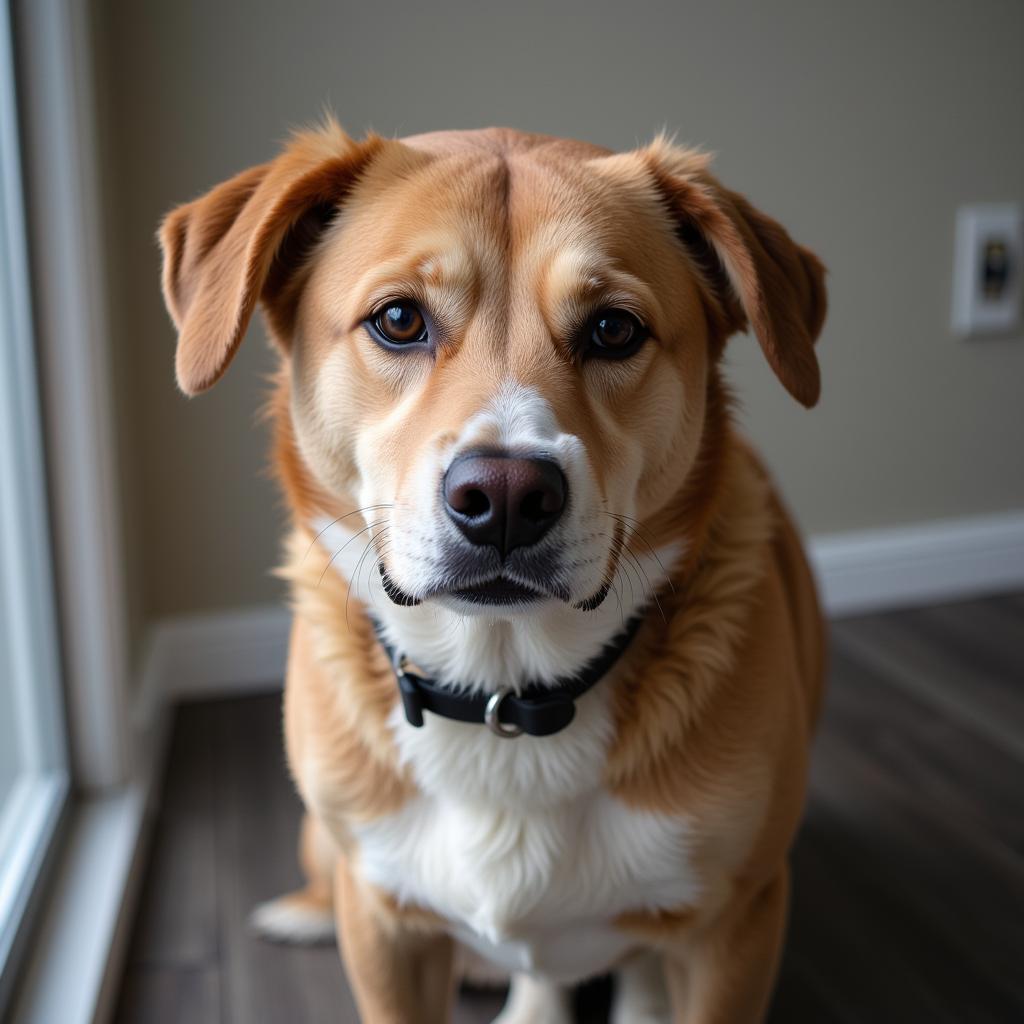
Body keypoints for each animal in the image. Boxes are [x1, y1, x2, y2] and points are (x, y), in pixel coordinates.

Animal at [161, 121, 831, 1024]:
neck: (504, 696)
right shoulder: (383, 929)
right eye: (398, 319)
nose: (507, 497)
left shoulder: (737, 927)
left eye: (614, 330)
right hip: (324, 839)